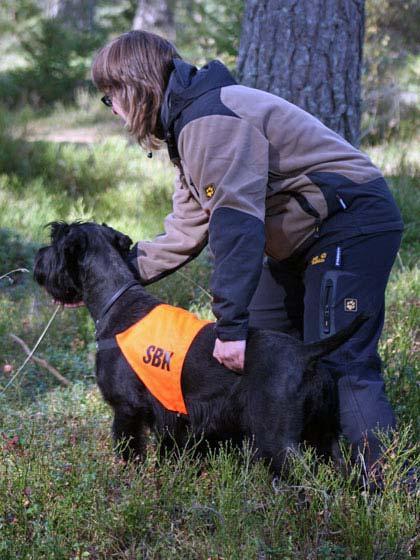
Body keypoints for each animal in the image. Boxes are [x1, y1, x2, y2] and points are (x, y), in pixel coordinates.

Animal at [34, 221, 366, 474]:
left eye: (58, 237)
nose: (38, 258)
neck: (116, 302)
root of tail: (306, 354)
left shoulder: (126, 409)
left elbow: (130, 452)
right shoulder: (170, 419)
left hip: (277, 438)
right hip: (324, 434)